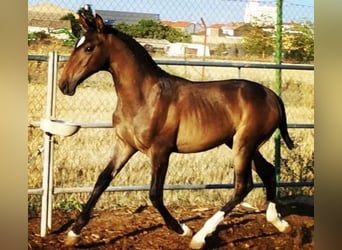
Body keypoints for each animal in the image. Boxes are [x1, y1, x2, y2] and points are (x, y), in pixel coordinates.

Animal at [58, 13, 294, 248]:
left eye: (89, 47)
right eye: (77, 44)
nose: (64, 84)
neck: (145, 97)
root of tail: (272, 96)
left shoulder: (161, 151)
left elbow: (154, 194)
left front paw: (182, 229)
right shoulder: (125, 145)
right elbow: (102, 180)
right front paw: (73, 233)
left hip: (244, 144)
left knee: (243, 186)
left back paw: (200, 237)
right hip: (240, 143)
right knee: (267, 170)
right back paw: (279, 222)